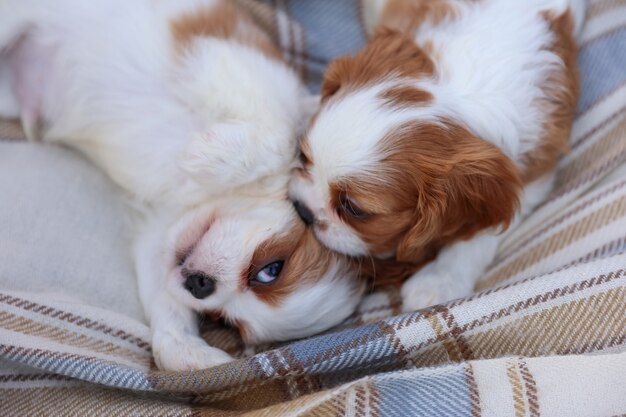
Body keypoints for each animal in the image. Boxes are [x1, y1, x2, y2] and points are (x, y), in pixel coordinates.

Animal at [1, 0, 366, 370]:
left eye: (224, 320)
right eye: (271, 270)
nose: (199, 284)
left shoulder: (158, 235)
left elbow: (166, 303)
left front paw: (188, 352)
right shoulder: (232, 60)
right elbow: (285, 134)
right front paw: (208, 156)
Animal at [290, 0, 584, 310]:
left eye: (354, 209)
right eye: (303, 157)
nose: (303, 210)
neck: (459, 101)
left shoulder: (532, 173)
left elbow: (479, 234)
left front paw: (440, 280)